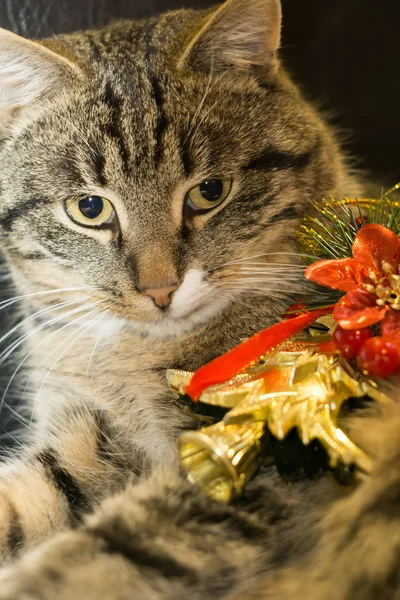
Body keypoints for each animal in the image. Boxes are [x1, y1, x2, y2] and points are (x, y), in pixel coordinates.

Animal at [0, 0, 394, 596]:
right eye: (89, 208)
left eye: (210, 192)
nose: (159, 289)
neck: (132, 357)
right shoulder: (82, 442)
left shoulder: (259, 456)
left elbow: (114, 554)